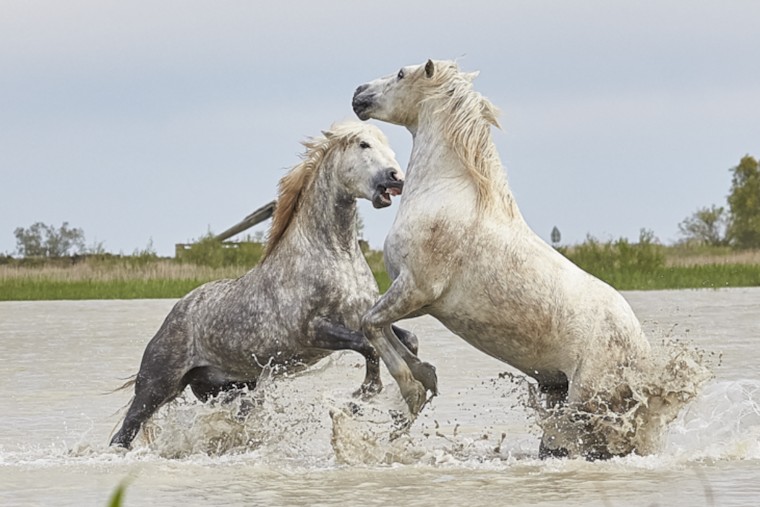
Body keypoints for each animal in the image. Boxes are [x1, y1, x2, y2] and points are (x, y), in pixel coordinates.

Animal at [110, 120, 419, 449]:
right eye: (363, 145)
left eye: (390, 149)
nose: (396, 178)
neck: (336, 256)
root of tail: (176, 312)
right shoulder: (312, 331)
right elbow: (367, 346)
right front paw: (364, 393)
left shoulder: (363, 318)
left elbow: (407, 340)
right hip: (156, 388)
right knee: (123, 434)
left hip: (226, 387)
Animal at [352, 60, 653, 458]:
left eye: (401, 73)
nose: (358, 94)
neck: (445, 194)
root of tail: (640, 352)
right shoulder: (414, 298)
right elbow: (381, 325)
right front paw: (425, 377)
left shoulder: (416, 289)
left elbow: (370, 323)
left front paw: (413, 391)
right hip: (557, 390)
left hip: (586, 406)